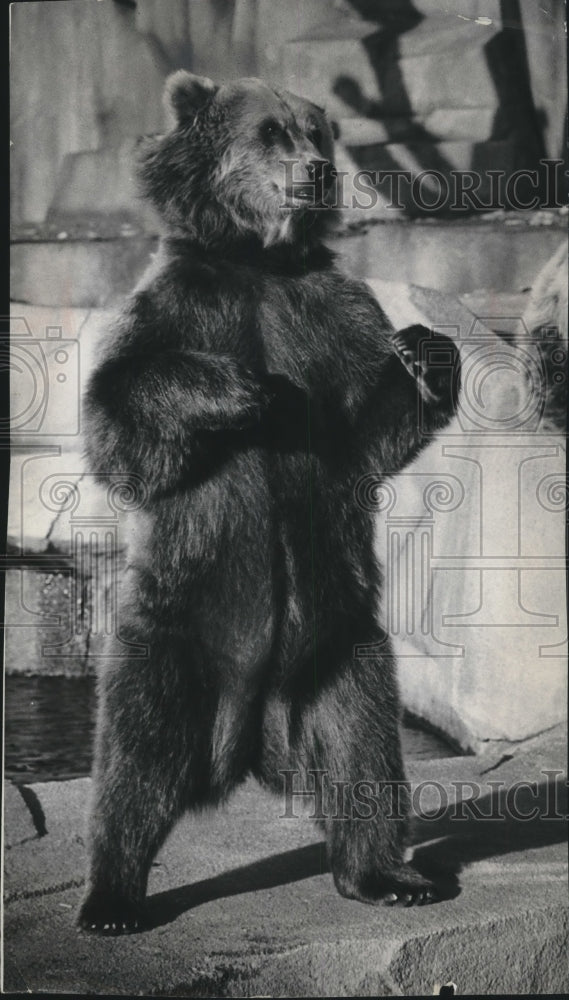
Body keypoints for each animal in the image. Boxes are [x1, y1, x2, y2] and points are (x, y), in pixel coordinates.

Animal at [78, 71, 461, 934]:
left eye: (317, 133)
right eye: (271, 133)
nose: (315, 171)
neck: (257, 260)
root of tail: (250, 732)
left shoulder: (332, 314)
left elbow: (369, 432)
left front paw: (428, 351)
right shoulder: (179, 305)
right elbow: (119, 427)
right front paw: (241, 390)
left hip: (342, 644)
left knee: (361, 751)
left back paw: (386, 874)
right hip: (171, 629)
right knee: (133, 757)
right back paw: (111, 897)